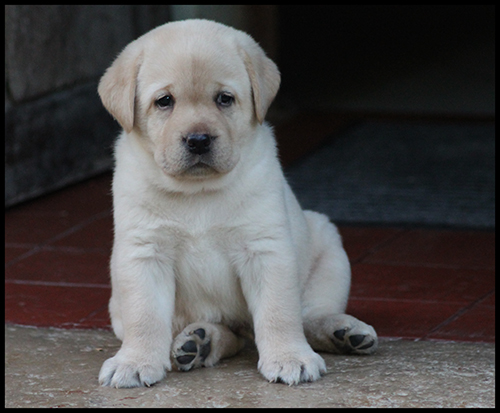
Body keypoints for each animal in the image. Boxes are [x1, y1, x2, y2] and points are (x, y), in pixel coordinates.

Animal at [97, 19, 377, 388]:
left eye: (224, 99)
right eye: (164, 101)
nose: (198, 140)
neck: (198, 192)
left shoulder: (265, 248)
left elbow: (279, 311)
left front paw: (289, 358)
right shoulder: (145, 253)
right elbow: (145, 317)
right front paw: (134, 361)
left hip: (329, 247)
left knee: (309, 315)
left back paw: (342, 332)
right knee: (231, 337)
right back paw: (199, 341)